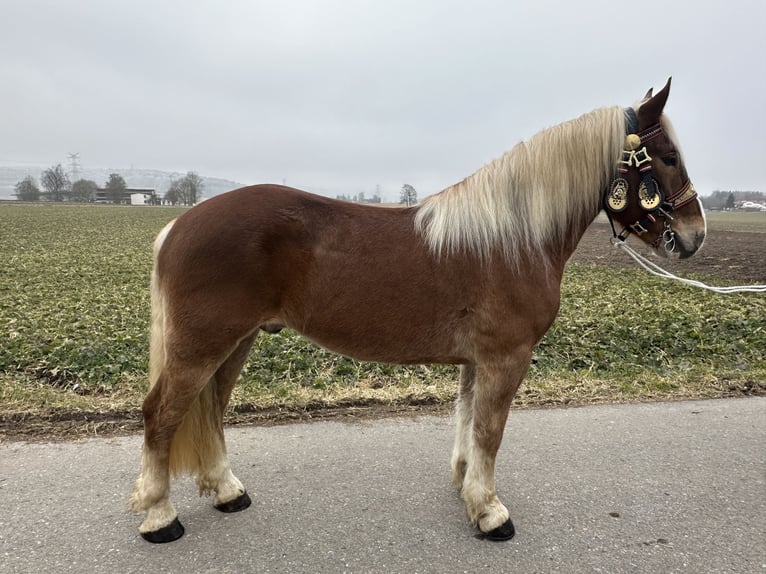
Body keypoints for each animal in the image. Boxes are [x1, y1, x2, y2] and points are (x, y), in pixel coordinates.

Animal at [130, 80, 708, 544]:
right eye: (668, 156)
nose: (695, 236)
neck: (514, 238)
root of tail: (178, 224)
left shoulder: (479, 361)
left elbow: (469, 421)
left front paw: (468, 489)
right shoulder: (506, 358)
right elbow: (490, 431)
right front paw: (490, 513)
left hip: (236, 342)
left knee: (210, 410)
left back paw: (227, 491)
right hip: (203, 345)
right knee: (161, 415)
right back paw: (160, 517)